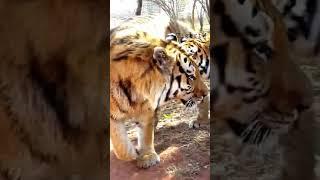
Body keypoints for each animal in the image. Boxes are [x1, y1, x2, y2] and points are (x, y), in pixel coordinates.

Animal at [110, 16, 210, 169]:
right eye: (191, 76)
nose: (206, 92)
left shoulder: (147, 109)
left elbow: (145, 134)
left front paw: (147, 156)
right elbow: (120, 146)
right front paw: (133, 153)